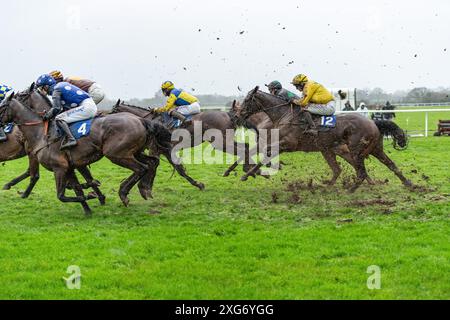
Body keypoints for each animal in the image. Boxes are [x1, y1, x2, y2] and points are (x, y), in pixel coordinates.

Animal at [0, 94, 204, 216]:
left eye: (2, 107)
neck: (41, 134)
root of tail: (141, 120)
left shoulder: (60, 168)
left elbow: (62, 195)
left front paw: (93, 196)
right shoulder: (70, 167)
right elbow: (76, 188)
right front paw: (89, 207)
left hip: (117, 154)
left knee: (142, 168)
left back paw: (124, 192)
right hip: (134, 152)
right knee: (152, 163)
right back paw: (144, 189)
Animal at [234, 86, 414, 192]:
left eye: (247, 100)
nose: (237, 115)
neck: (284, 115)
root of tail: (372, 122)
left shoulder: (286, 144)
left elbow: (265, 156)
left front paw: (248, 174)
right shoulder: (276, 143)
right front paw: (250, 172)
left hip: (355, 150)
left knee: (360, 171)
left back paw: (351, 189)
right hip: (368, 149)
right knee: (389, 165)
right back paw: (408, 183)